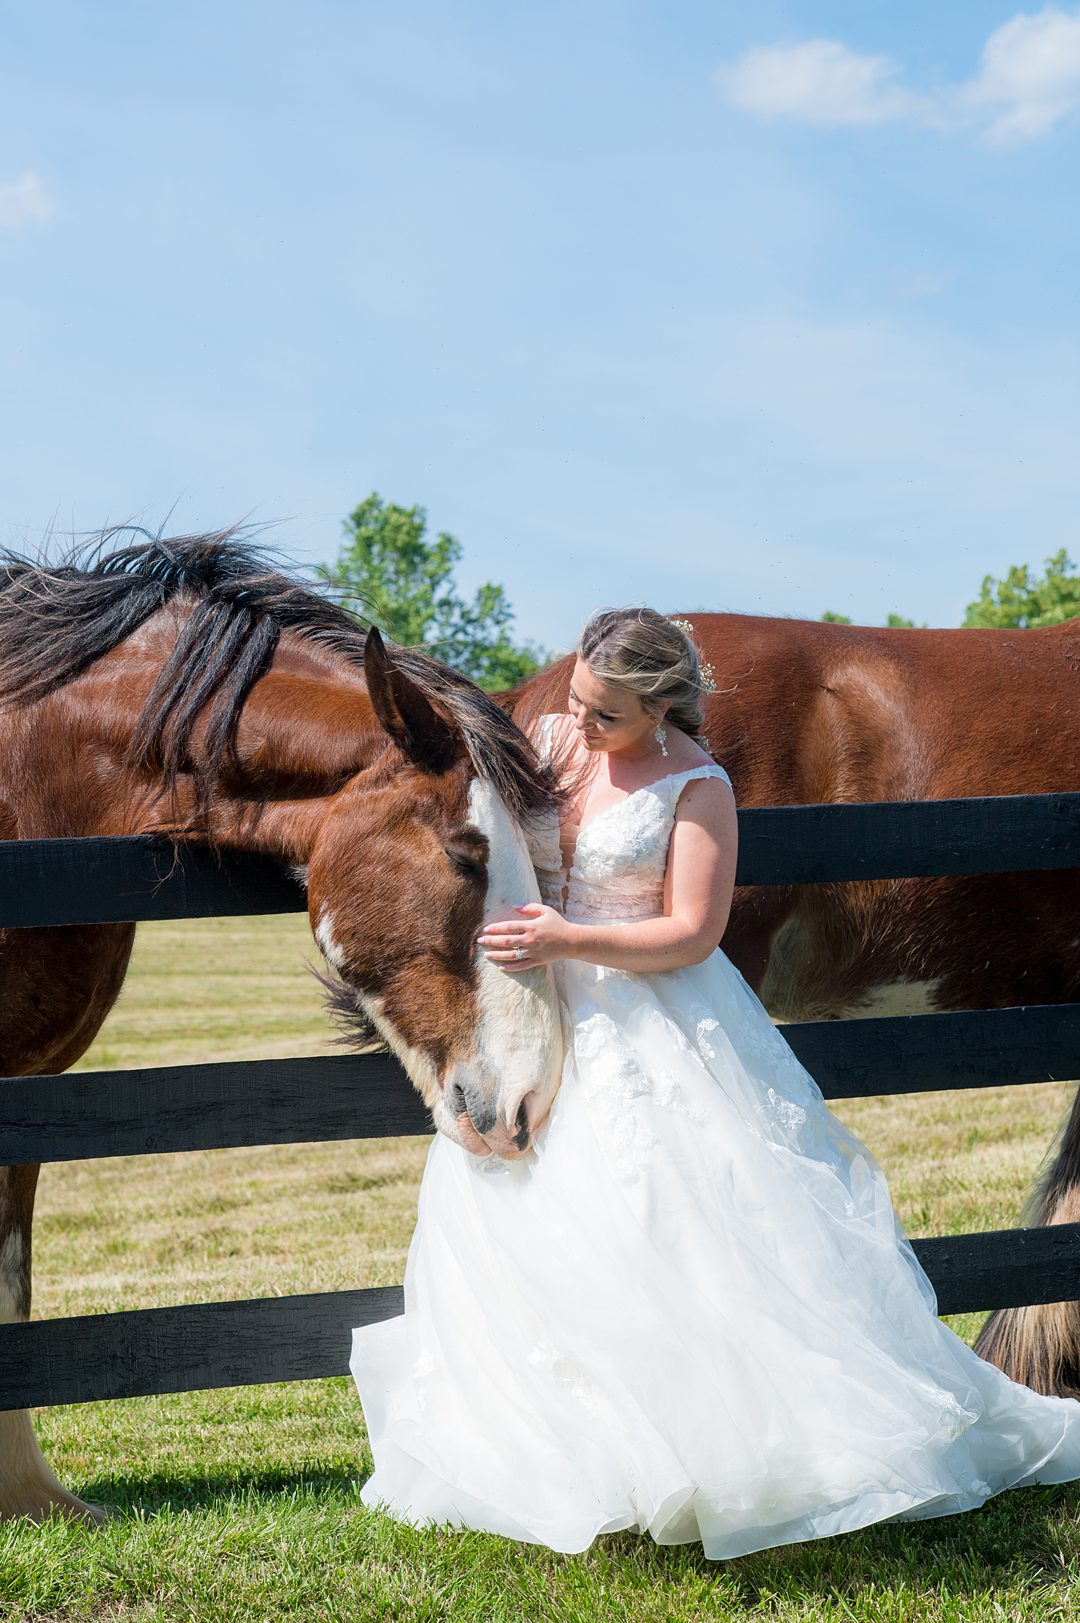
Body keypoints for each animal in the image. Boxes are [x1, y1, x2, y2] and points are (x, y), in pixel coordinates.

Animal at [2, 532, 565, 1519]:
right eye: (466, 855)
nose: (534, 1094)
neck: (23, 784)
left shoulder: (33, 1090)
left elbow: (12, 1283)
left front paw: (28, 1496)